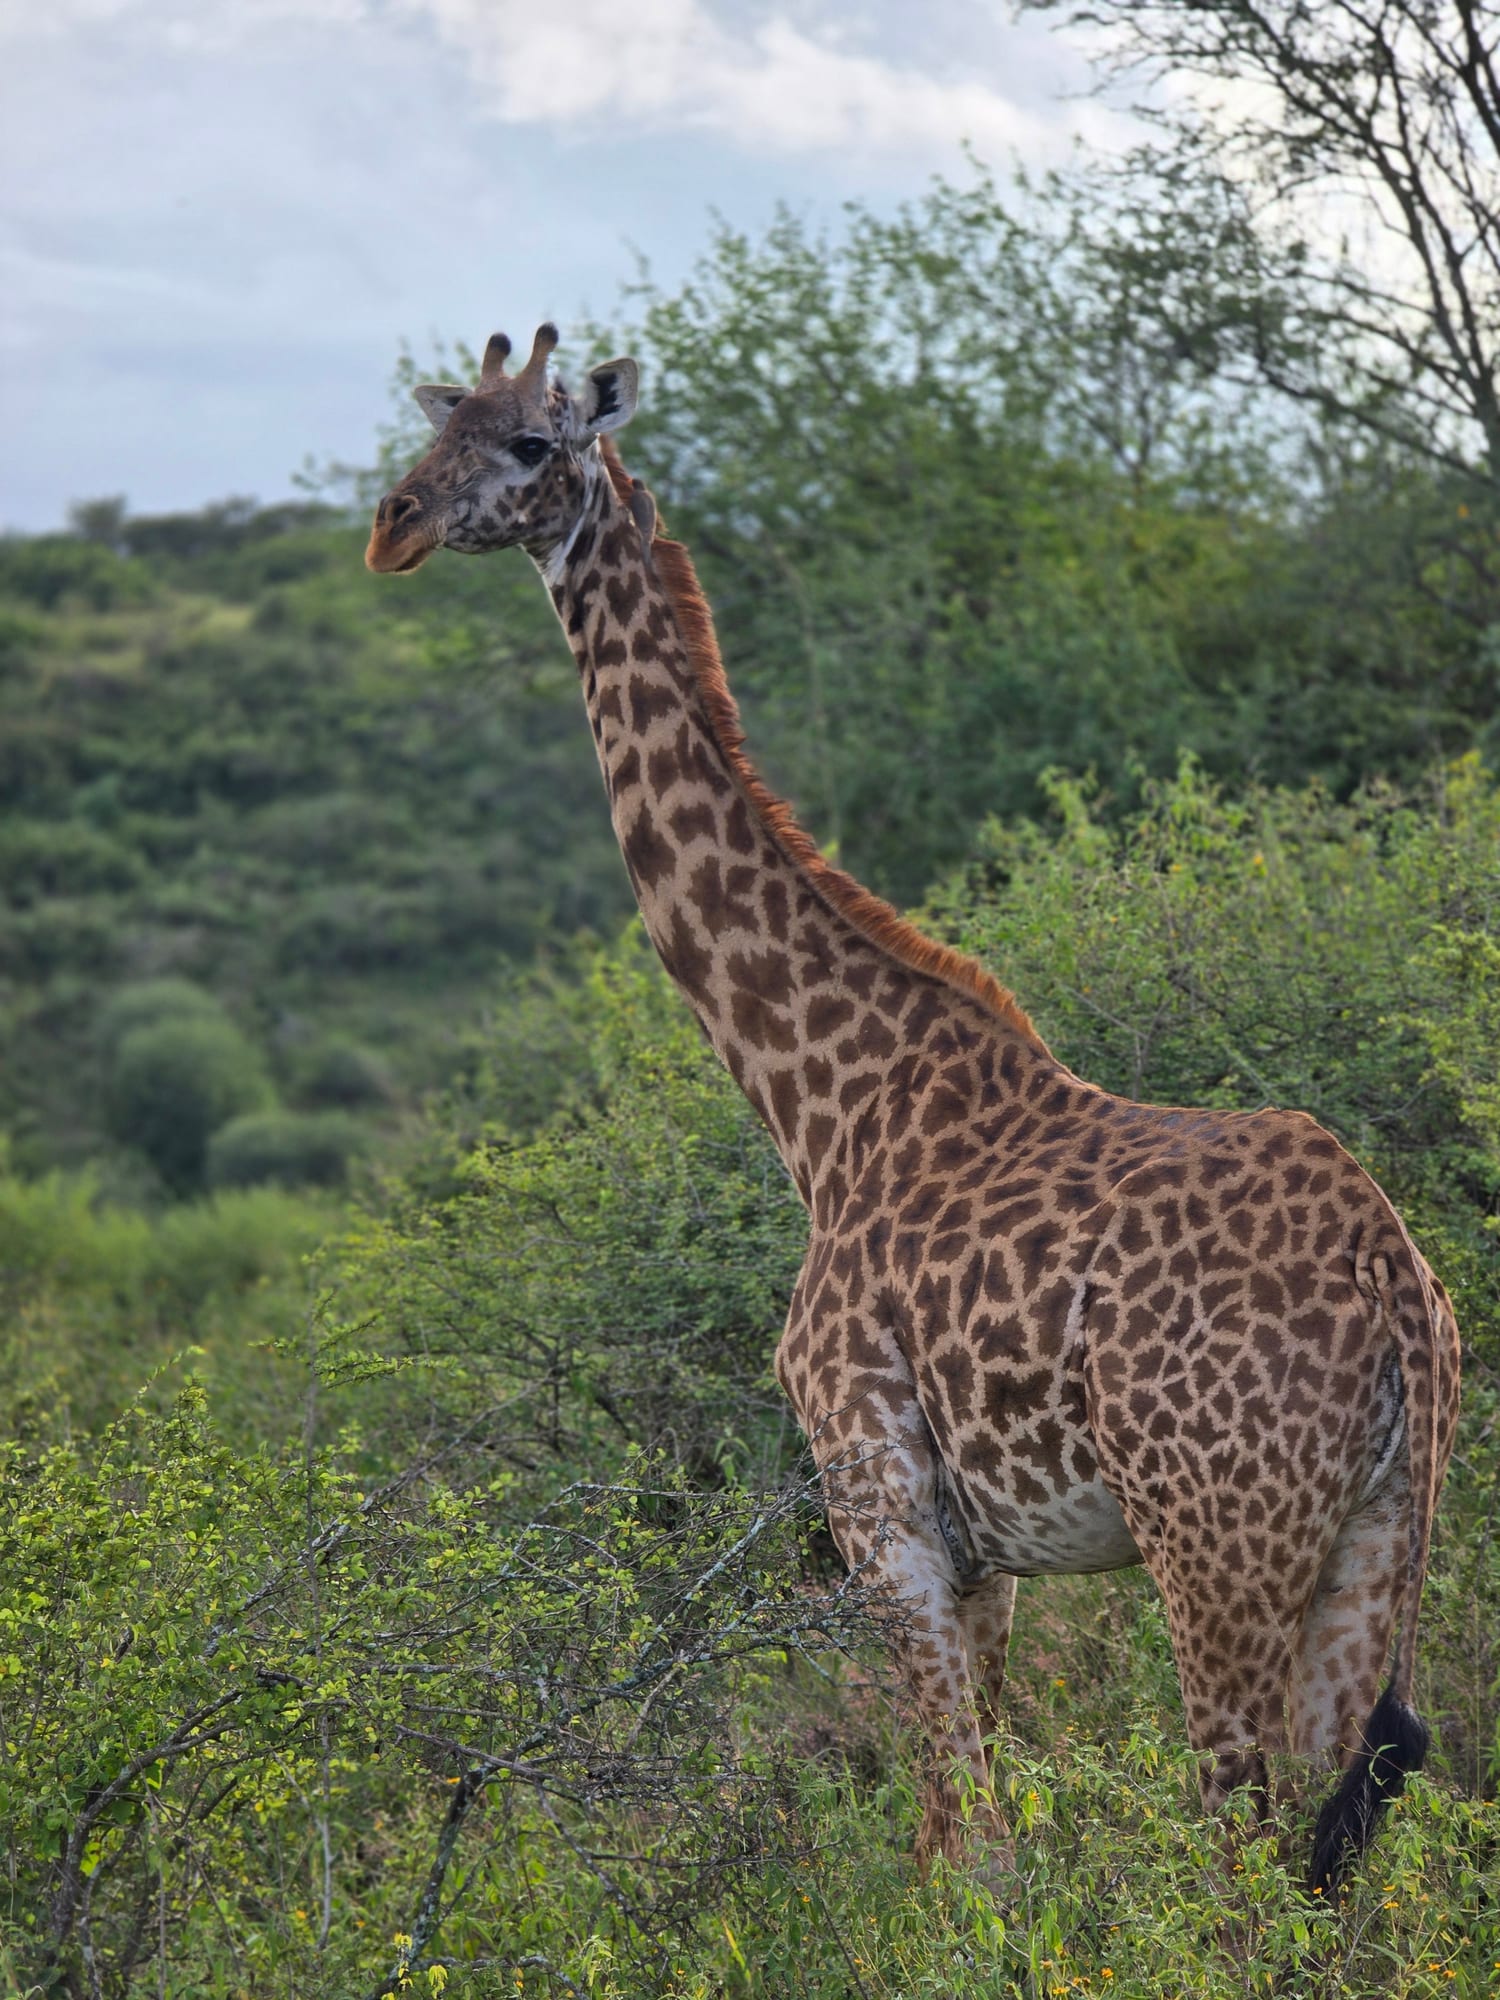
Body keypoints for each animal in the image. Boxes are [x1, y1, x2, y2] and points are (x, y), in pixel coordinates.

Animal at [366, 322, 1462, 1894]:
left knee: (1240, 1851)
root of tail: (1392, 1278)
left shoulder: (878, 1505)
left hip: (1216, 1544)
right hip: (1380, 1538)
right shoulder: (989, 1552)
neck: (821, 1103)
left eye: (526, 444)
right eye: (439, 424)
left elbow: (964, 1847)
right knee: (1340, 1850)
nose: (391, 525)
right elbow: (982, 1828)